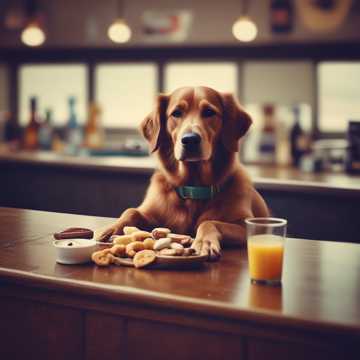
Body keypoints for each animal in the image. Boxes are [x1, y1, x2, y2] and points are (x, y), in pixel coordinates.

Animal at [100, 86, 268, 260]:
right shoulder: (151, 213)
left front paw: (204, 242)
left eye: (209, 112)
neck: (194, 189)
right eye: (176, 113)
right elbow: (131, 211)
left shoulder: (245, 225)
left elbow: (209, 222)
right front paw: (113, 228)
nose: (190, 139)